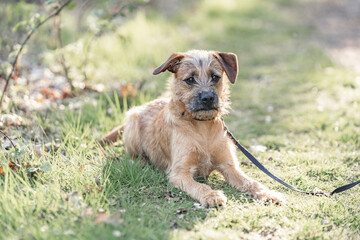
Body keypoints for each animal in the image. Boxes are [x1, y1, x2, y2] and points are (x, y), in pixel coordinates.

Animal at [99, 50, 284, 206]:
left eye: (215, 77)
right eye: (190, 79)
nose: (208, 98)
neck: (203, 127)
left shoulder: (229, 166)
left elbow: (251, 182)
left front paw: (269, 193)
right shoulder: (180, 173)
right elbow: (199, 186)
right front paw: (212, 195)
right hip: (132, 121)